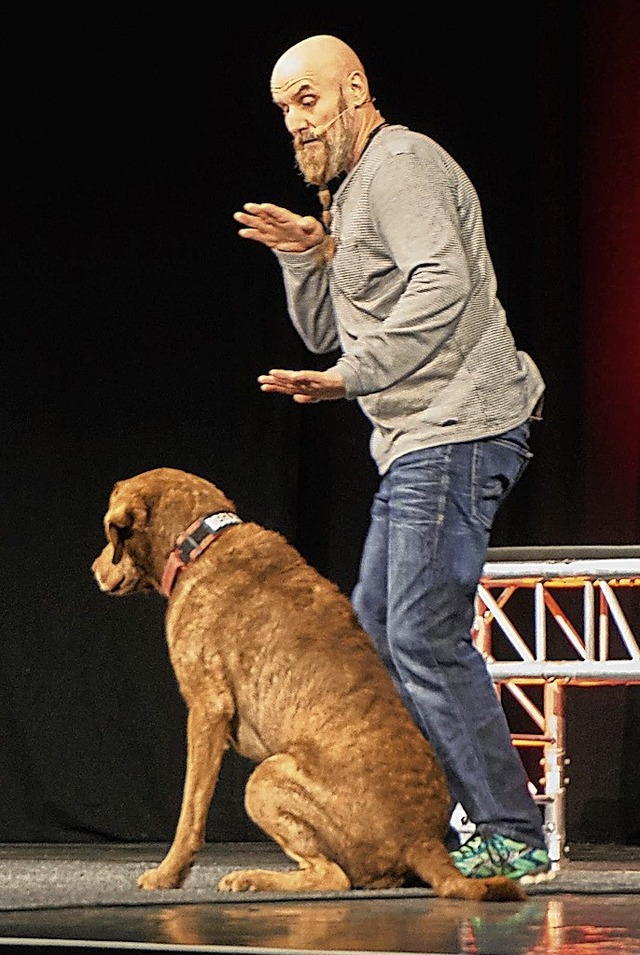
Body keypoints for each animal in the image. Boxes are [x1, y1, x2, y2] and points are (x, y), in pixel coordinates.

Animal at [94, 470, 524, 904]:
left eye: (112, 534)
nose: (94, 568)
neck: (199, 542)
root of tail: (421, 841)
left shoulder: (207, 709)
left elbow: (190, 809)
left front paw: (168, 874)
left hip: (267, 778)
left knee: (331, 876)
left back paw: (252, 878)